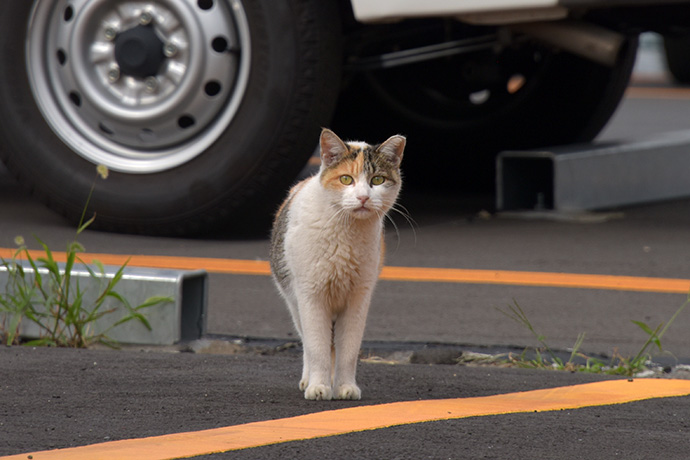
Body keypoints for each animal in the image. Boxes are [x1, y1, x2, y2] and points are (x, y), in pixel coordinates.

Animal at [268, 128, 404, 398]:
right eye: (346, 179)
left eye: (377, 180)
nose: (363, 198)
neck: (346, 232)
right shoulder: (311, 296)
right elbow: (317, 348)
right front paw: (318, 387)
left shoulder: (358, 299)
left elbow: (348, 350)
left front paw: (344, 387)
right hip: (294, 301)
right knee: (308, 342)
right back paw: (309, 379)